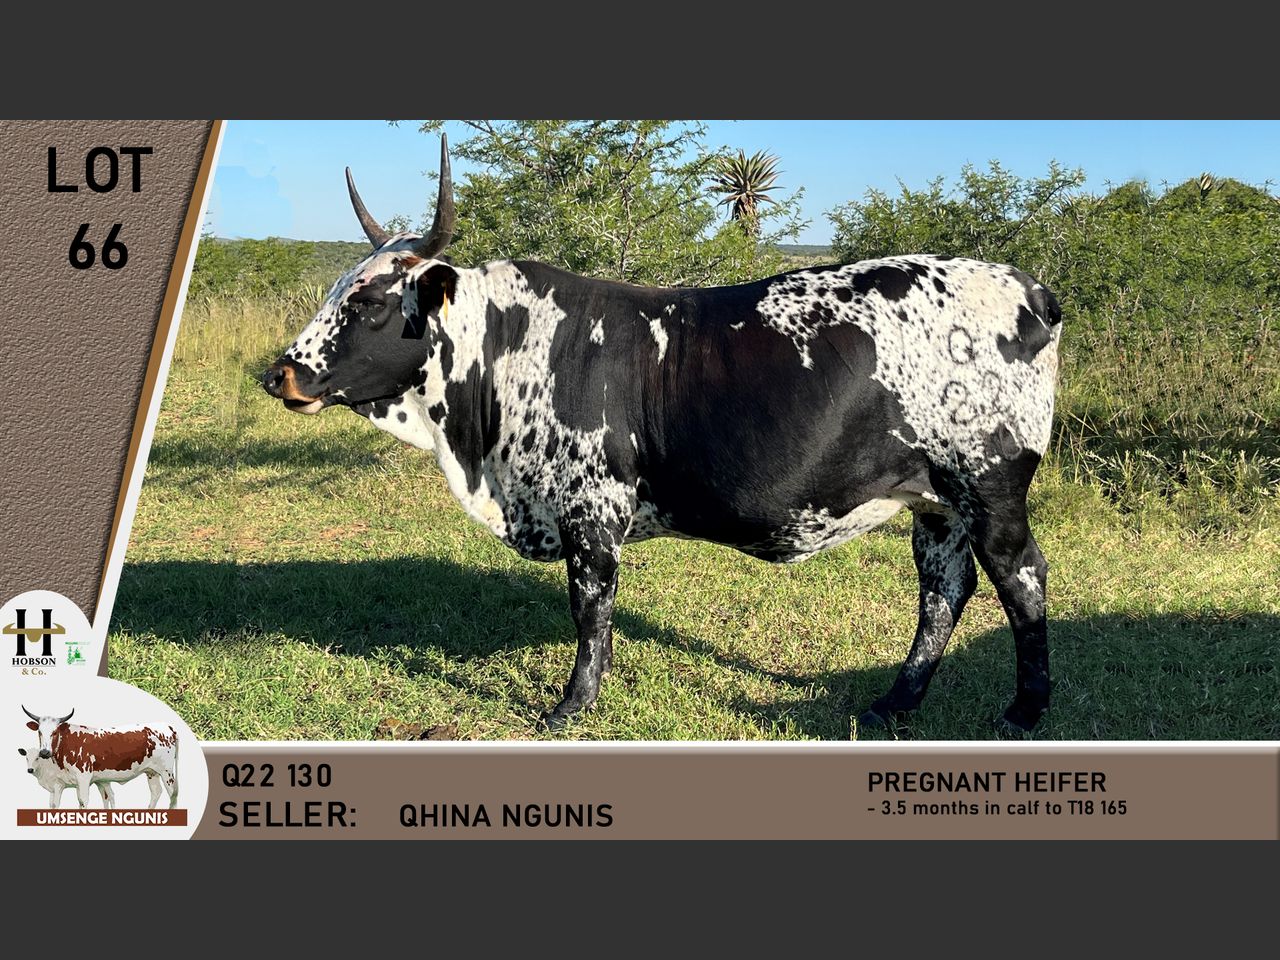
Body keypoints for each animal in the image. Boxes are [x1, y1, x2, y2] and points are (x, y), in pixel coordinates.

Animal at [22, 707, 180, 808]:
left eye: (54, 732)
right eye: (39, 732)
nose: (44, 752)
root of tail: (168, 726)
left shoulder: (83, 777)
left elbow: (83, 801)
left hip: (167, 771)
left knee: (173, 794)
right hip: (151, 771)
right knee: (156, 792)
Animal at [262, 137, 1062, 735]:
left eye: (369, 303)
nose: (281, 374)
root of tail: (1029, 288)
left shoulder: (591, 510)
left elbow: (590, 610)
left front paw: (571, 705)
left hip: (990, 488)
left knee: (1021, 579)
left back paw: (1024, 711)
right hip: (936, 503)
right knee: (944, 589)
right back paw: (896, 702)